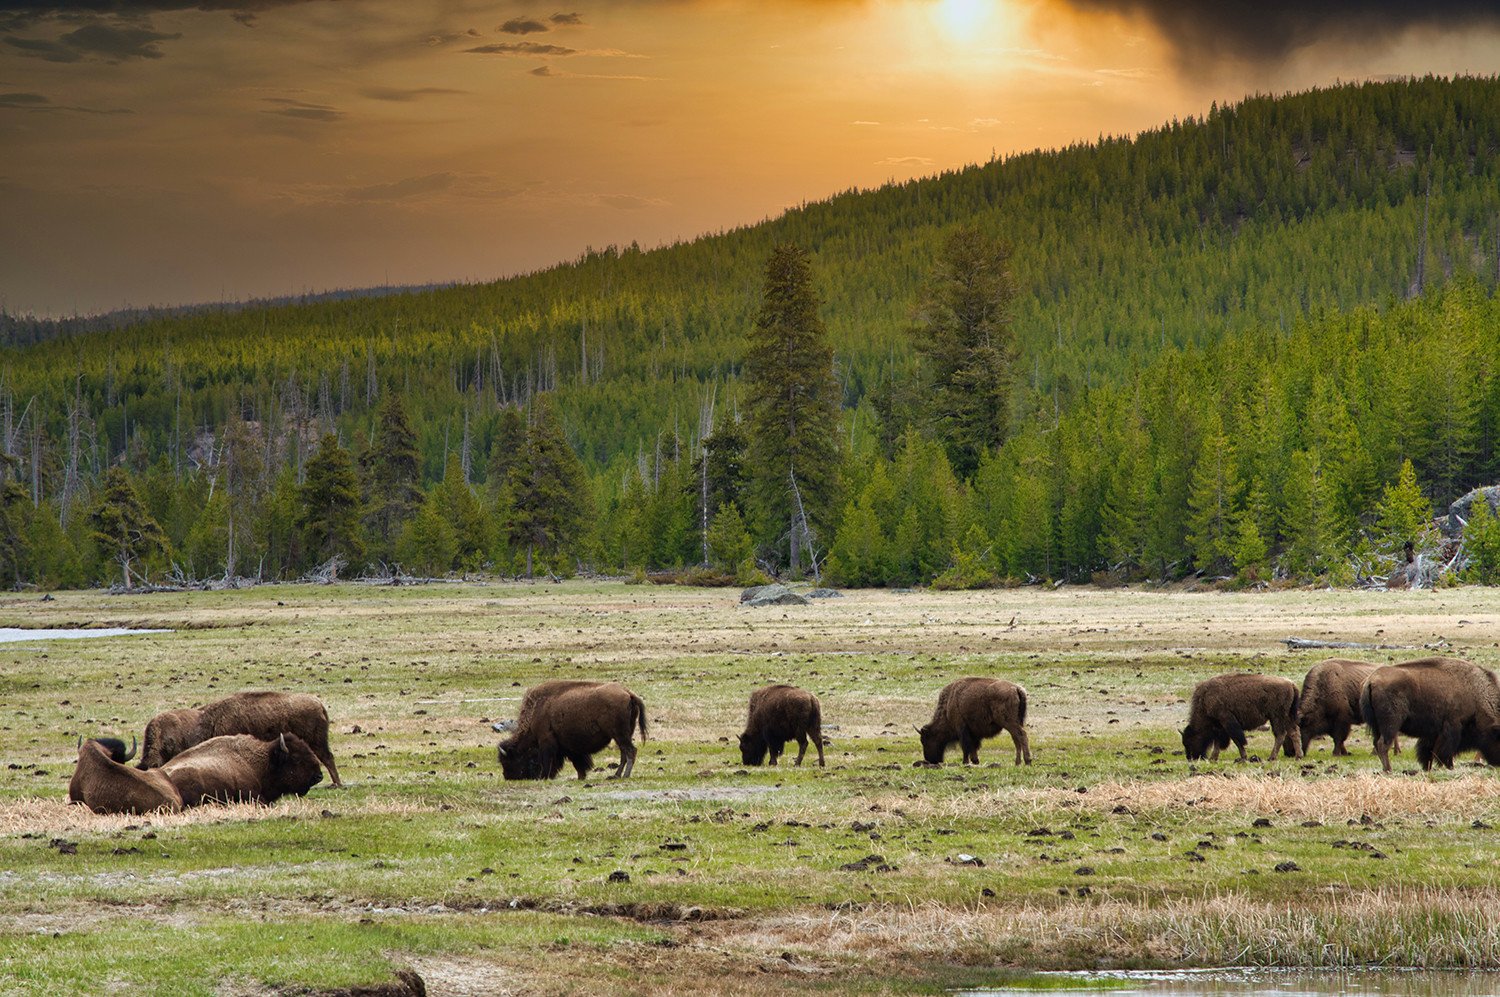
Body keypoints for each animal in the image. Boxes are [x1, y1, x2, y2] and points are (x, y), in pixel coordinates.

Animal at [496, 680, 647, 780]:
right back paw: (615, 775)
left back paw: (624, 775)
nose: (508, 776)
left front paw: (544, 777)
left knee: (630, 751)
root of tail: (628, 693)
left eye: (509, 760)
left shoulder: (546, 740)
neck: (536, 709)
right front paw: (581, 777)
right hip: (624, 735)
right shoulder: (569, 747)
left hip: (619, 734)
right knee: (624, 753)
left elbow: (548, 759)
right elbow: (578, 763)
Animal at [1361, 657, 1500, 772]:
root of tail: (1370, 681)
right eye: (1497, 736)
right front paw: (1449, 767)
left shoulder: (1434, 734)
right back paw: (1389, 769)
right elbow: (1445, 752)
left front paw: (1428, 768)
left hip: (1377, 726)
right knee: (1383, 744)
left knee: (1376, 744)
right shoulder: (1452, 727)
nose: (1496, 764)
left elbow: (1428, 751)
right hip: (1390, 724)